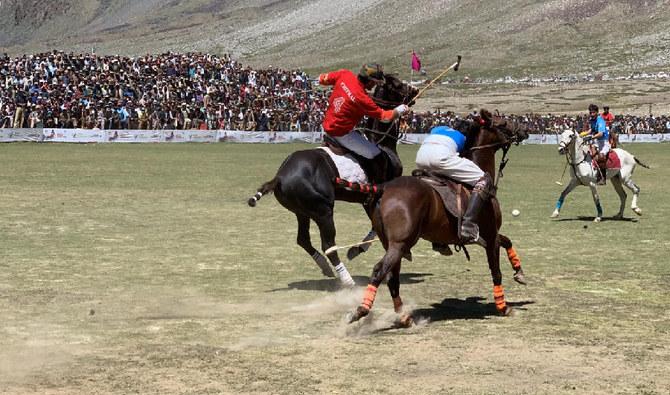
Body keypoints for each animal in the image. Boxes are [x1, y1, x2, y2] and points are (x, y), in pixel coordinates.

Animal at [346, 110, 532, 324]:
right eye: (504, 123)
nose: (525, 130)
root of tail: (383, 189)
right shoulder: (490, 234)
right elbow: (496, 271)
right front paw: (503, 307)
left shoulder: (485, 236)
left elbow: (507, 241)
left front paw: (519, 273)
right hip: (400, 243)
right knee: (379, 271)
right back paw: (361, 311)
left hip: (391, 243)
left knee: (392, 277)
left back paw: (404, 317)